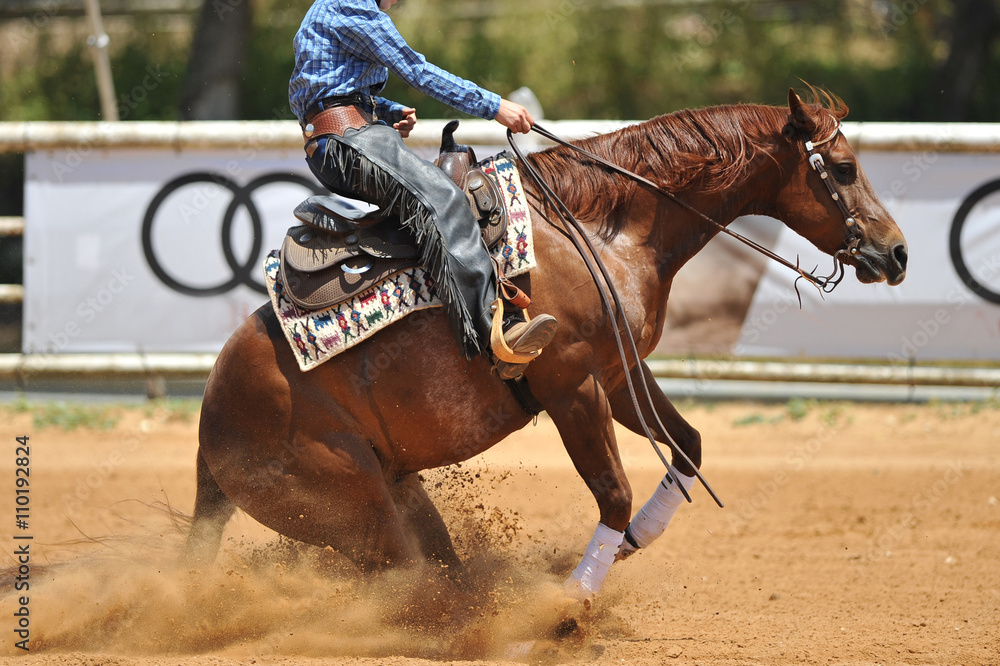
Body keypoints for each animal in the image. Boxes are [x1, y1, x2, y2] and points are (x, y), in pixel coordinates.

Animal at [180, 87, 908, 592]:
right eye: (843, 168)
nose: (897, 252)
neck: (602, 229)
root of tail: (211, 428)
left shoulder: (618, 373)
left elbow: (688, 448)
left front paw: (631, 543)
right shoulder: (570, 385)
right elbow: (612, 490)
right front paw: (571, 604)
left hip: (398, 493)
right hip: (357, 508)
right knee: (414, 586)